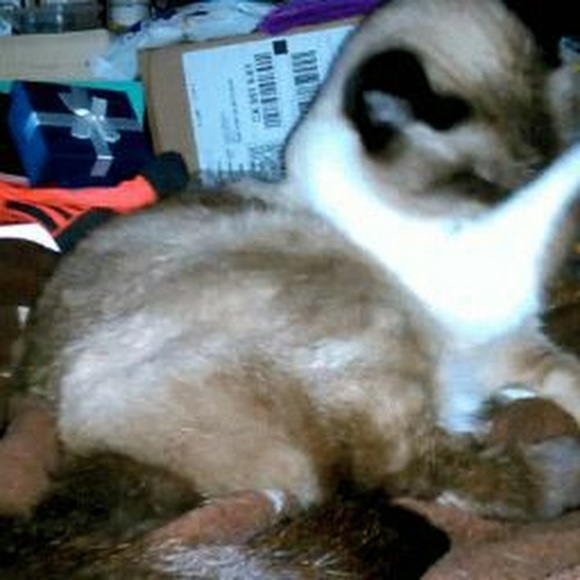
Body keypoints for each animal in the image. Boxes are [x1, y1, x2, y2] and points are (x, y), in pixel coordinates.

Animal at [10, 0, 580, 541]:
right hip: (369, 325)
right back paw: (562, 464)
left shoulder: (512, 340)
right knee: (409, 471)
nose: (509, 193)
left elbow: (564, 372)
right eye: (482, 186)